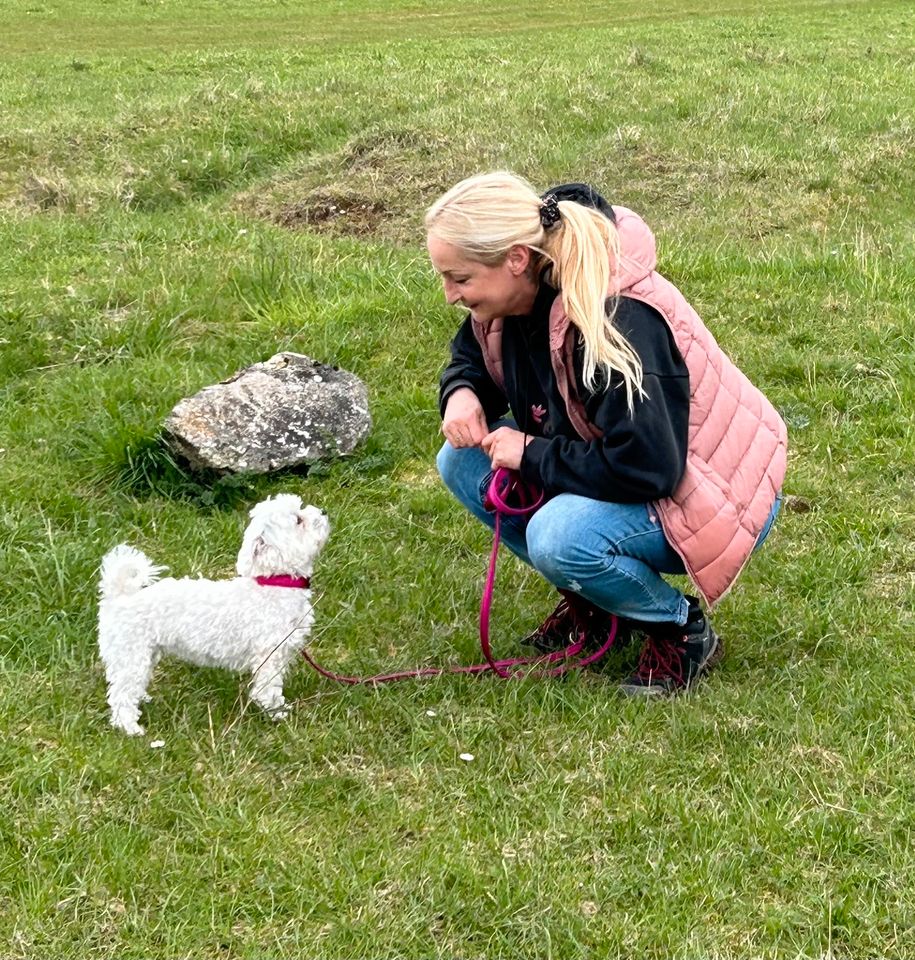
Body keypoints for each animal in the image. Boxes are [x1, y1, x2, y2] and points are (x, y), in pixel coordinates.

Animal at [96, 496, 330, 736]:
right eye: (298, 520)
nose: (323, 511)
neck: (275, 582)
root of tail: (119, 596)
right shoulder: (269, 655)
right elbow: (268, 689)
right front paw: (278, 713)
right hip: (130, 653)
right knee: (121, 694)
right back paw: (129, 727)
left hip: (144, 653)